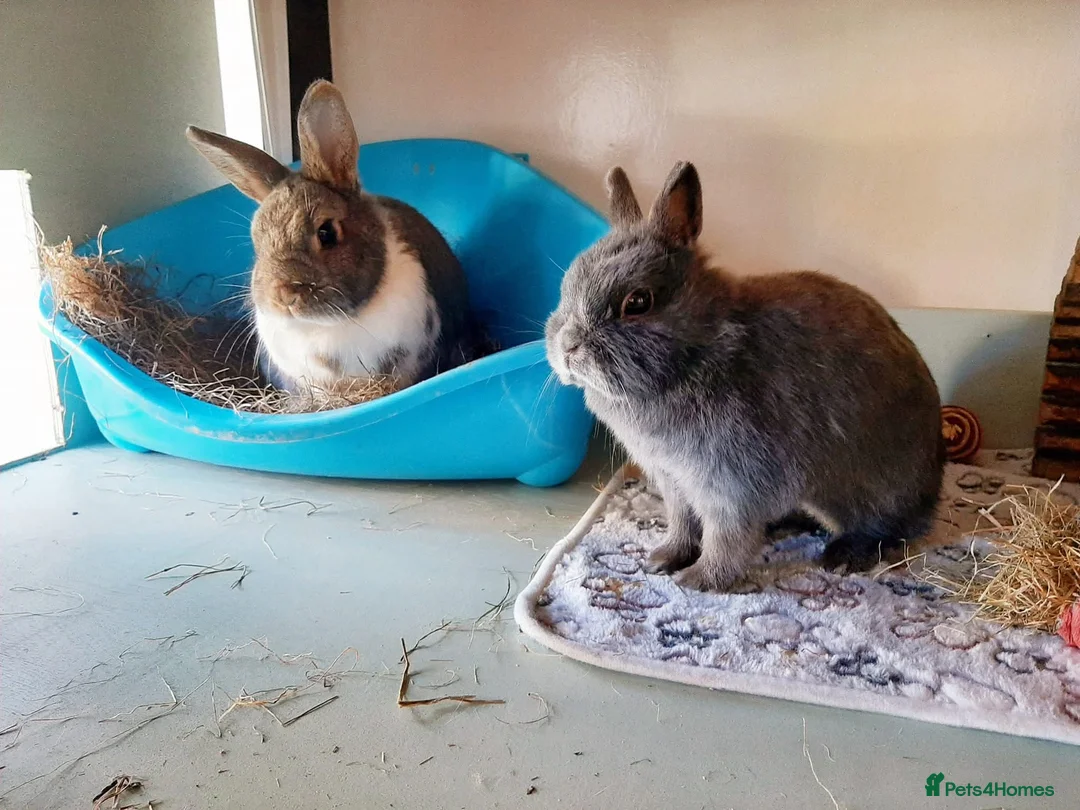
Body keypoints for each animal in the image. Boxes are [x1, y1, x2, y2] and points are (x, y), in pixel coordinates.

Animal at [545, 161, 945, 591]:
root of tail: (933, 485)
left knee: (887, 530)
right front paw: (663, 559)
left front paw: (700, 580)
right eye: (566, 286)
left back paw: (844, 555)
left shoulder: (732, 485)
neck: (697, 353)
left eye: (637, 302)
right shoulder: (674, 482)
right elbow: (682, 523)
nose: (567, 347)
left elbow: (727, 536)